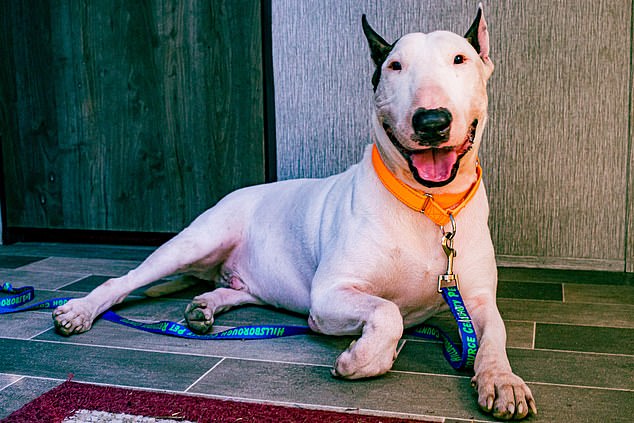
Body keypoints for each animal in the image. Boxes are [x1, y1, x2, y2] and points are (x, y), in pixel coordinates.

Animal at [55, 5, 532, 420]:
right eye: (395, 66)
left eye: (460, 59)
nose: (431, 121)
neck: (430, 205)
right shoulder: (331, 294)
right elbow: (387, 312)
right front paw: (361, 357)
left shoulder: (477, 299)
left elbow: (496, 335)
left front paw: (503, 381)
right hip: (195, 241)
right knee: (123, 282)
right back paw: (80, 310)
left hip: (251, 280)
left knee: (233, 289)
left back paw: (204, 308)